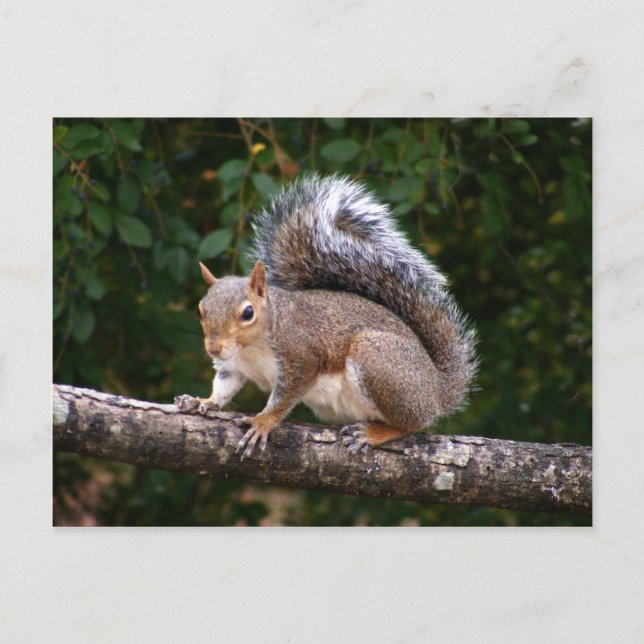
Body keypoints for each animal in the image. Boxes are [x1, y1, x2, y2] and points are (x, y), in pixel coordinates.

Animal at [175, 174, 476, 459]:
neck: (251, 348)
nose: (213, 348)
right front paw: (203, 401)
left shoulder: (302, 357)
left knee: (411, 424)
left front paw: (262, 422)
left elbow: (285, 397)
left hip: (378, 360)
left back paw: (372, 434)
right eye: (201, 309)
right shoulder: (234, 366)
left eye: (248, 313)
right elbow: (224, 386)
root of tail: (437, 391)